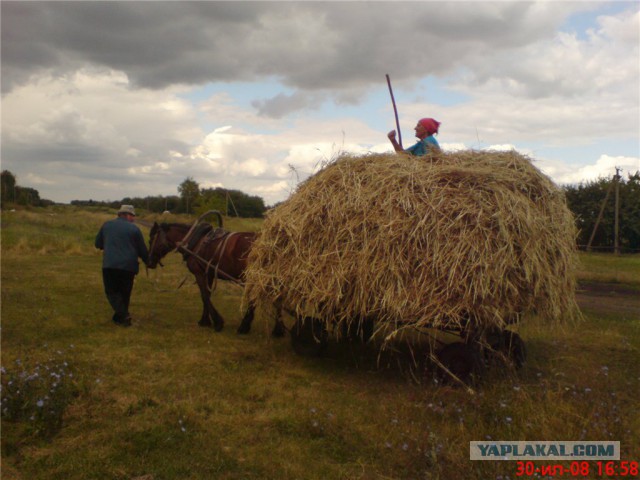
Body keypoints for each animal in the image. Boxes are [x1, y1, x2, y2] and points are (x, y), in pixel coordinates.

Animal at [148, 216, 284, 336]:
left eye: (151, 240)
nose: (149, 262)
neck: (194, 242)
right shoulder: (208, 274)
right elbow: (207, 295)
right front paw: (205, 320)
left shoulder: (199, 273)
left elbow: (204, 296)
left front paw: (217, 322)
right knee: (278, 298)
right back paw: (277, 329)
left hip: (254, 277)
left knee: (255, 299)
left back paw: (244, 326)